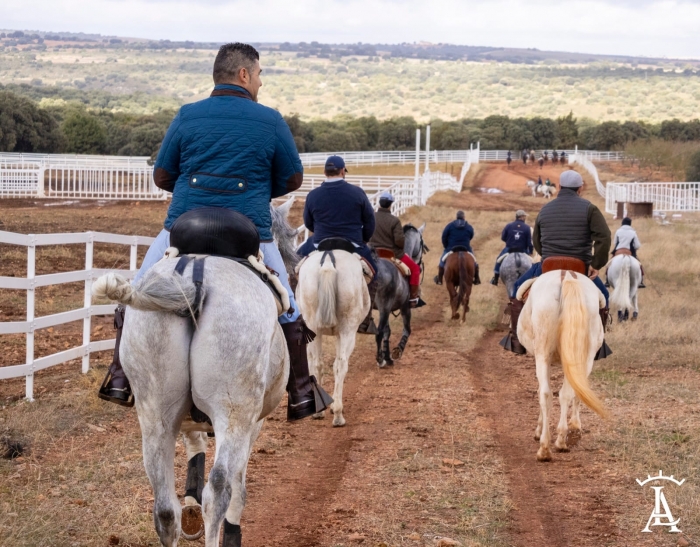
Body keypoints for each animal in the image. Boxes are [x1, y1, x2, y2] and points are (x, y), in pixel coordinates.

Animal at [91, 200, 300, 547]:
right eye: (286, 242)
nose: (294, 271)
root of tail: (195, 278)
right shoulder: (253, 423)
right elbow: (238, 487)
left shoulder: (186, 417)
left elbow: (194, 447)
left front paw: (190, 507)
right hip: (233, 413)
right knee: (219, 489)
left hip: (156, 413)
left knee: (164, 507)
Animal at [295, 247, 370, 427]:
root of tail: (328, 261)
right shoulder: (342, 334)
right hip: (348, 329)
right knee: (340, 365)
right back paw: (338, 415)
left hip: (314, 328)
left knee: (318, 364)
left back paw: (320, 411)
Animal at [517, 270, 609, 462]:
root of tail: (566, 276)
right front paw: (574, 426)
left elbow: (541, 391)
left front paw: (538, 430)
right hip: (584, 356)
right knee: (568, 392)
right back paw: (561, 439)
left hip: (543, 353)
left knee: (546, 393)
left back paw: (545, 447)